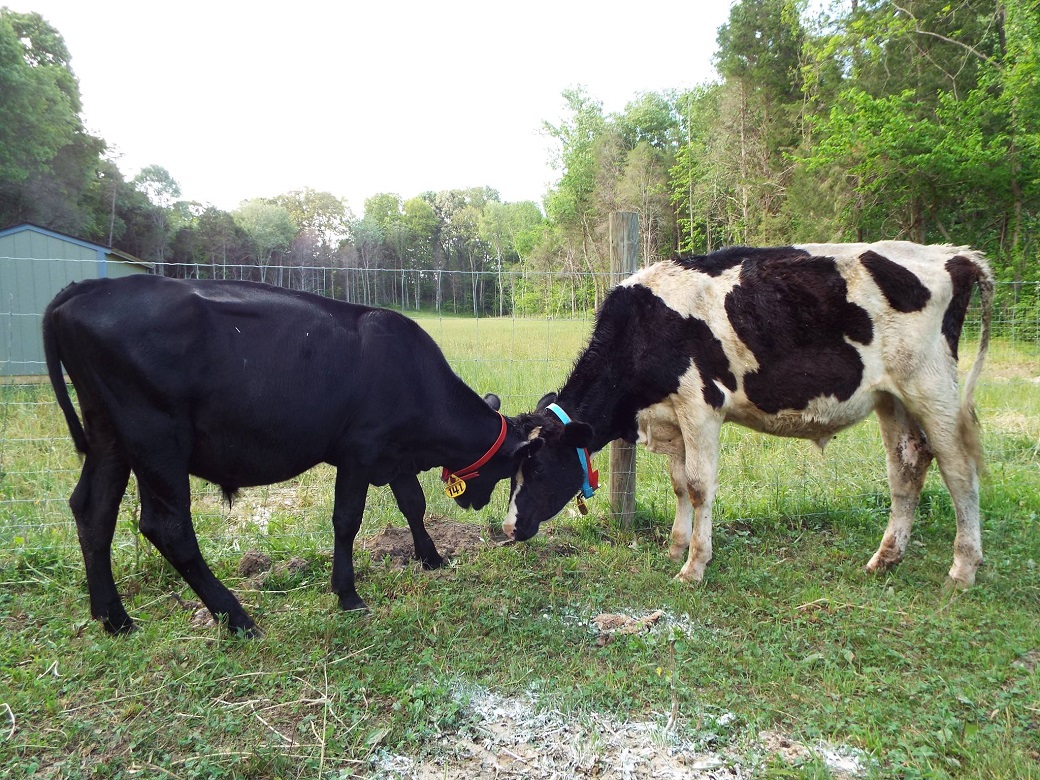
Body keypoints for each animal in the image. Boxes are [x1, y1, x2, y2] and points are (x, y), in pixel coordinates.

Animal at [42, 274, 528, 636]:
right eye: (512, 469)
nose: (475, 503)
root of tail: (89, 287)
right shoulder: (360, 450)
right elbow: (347, 519)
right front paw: (347, 594)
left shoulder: (393, 453)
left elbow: (413, 504)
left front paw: (432, 558)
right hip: (156, 440)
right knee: (168, 528)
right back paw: (237, 618)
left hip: (108, 434)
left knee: (93, 512)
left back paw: (115, 618)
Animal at [501, 241, 990, 590]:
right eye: (512, 470)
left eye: (538, 467)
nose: (508, 527)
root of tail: (956, 256)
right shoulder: (671, 417)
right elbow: (679, 483)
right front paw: (675, 548)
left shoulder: (700, 406)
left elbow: (699, 486)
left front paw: (694, 566)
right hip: (893, 398)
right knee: (907, 467)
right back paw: (884, 559)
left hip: (931, 386)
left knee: (957, 469)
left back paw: (963, 569)